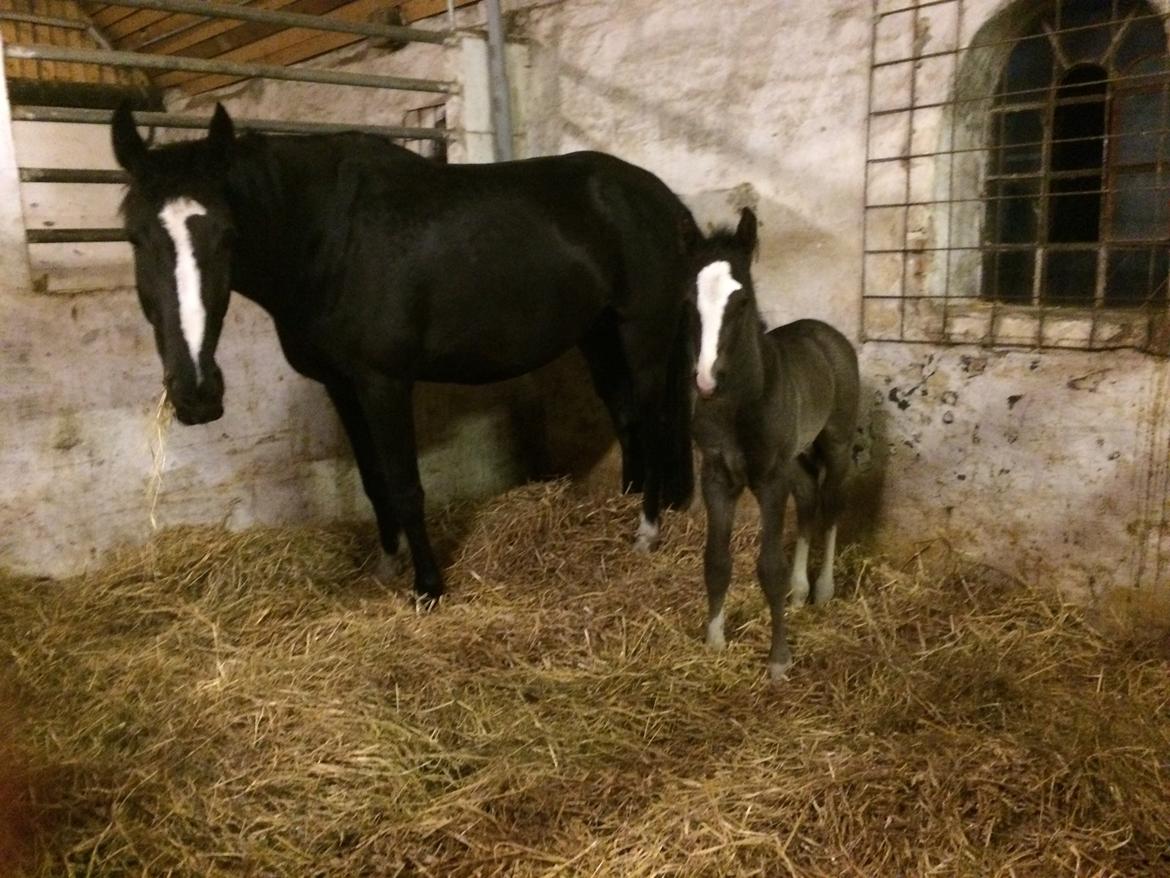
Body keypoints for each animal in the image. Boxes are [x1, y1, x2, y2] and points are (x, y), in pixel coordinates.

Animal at [683, 208, 861, 678]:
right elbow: (716, 561)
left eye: (742, 300)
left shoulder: (769, 481)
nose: (706, 380)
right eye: (688, 301)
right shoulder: (717, 477)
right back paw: (800, 592)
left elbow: (769, 567)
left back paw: (822, 590)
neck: (738, 406)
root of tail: (825, 333)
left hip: (835, 445)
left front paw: (779, 659)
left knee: (831, 508)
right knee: (809, 503)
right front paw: (714, 640)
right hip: (795, 460)